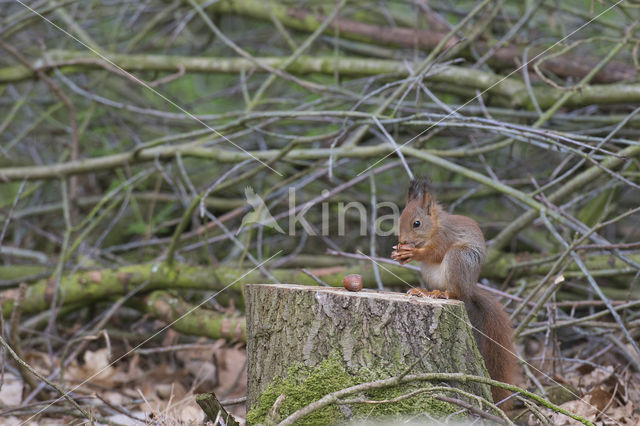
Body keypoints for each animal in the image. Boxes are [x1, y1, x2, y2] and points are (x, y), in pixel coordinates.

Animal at [390, 178, 520, 412]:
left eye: (416, 223)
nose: (402, 240)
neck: (435, 227)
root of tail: (470, 288)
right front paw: (400, 254)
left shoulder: (445, 237)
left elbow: (435, 252)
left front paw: (412, 252)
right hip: (429, 272)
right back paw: (423, 290)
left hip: (458, 258)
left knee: (455, 291)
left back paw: (442, 293)